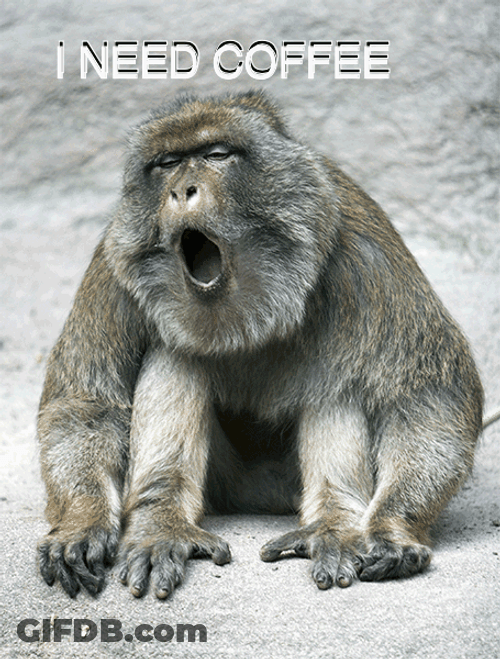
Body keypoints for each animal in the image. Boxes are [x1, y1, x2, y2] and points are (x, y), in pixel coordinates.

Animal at [37, 90, 485, 599]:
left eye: (216, 155)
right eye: (167, 163)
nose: (181, 191)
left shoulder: (365, 250)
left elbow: (430, 397)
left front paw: (393, 528)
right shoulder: (115, 262)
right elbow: (87, 405)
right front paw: (82, 521)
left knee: (337, 382)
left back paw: (334, 523)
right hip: (231, 485)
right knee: (175, 356)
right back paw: (161, 523)